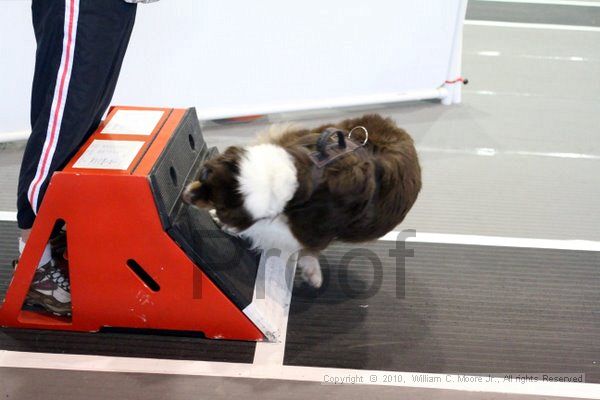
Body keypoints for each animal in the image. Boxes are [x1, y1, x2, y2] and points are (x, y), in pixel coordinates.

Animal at [183, 115, 422, 288]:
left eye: (222, 206)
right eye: (204, 174)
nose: (185, 197)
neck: (300, 175)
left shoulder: (312, 230)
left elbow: (273, 232)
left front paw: (225, 223)